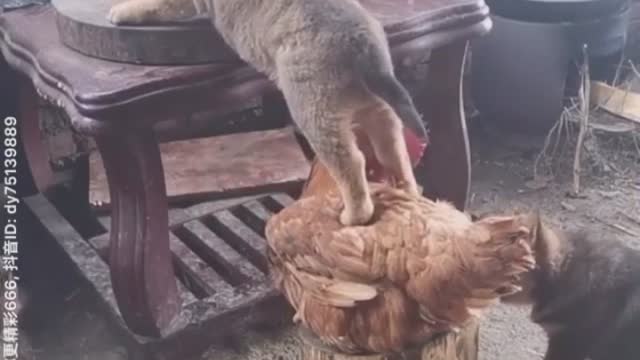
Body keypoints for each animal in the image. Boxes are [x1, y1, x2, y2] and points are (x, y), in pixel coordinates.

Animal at [109, 0, 430, 225]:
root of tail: (363, 43)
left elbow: (153, 4)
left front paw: (121, 10)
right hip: (377, 110)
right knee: (394, 153)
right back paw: (409, 191)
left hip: (315, 109)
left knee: (352, 164)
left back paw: (354, 216)